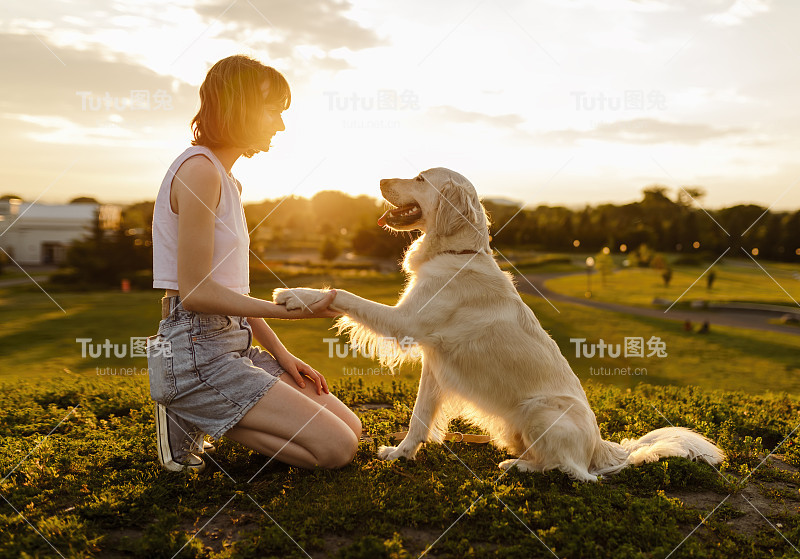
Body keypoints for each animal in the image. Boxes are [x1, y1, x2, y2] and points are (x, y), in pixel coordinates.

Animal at [276, 166, 724, 482]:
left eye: (420, 178)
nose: (381, 178)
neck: (456, 253)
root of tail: (601, 447)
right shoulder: (434, 365)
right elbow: (419, 418)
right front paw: (401, 453)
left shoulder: (406, 322)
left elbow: (344, 295)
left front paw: (298, 295)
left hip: (540, 409)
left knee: (575, 473)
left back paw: (520, 467)